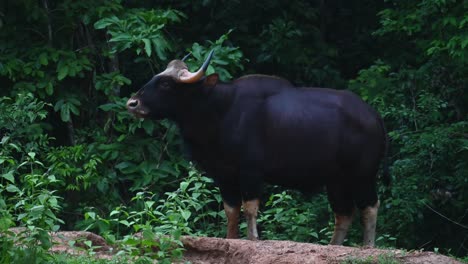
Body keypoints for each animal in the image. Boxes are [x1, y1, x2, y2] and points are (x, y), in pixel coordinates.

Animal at [126, 51, 390, 245]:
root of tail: (373, 116)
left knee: (369, 206)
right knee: (344, 213)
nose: (132, 103)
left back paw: (368, 246)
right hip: (336, 180)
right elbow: (231, 210)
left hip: (363, 175)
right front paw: (231, 238)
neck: (219, 111)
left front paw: (252, 238)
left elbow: (250, 207)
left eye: (165, 84)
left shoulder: (250, 172)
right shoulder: (224, 175)